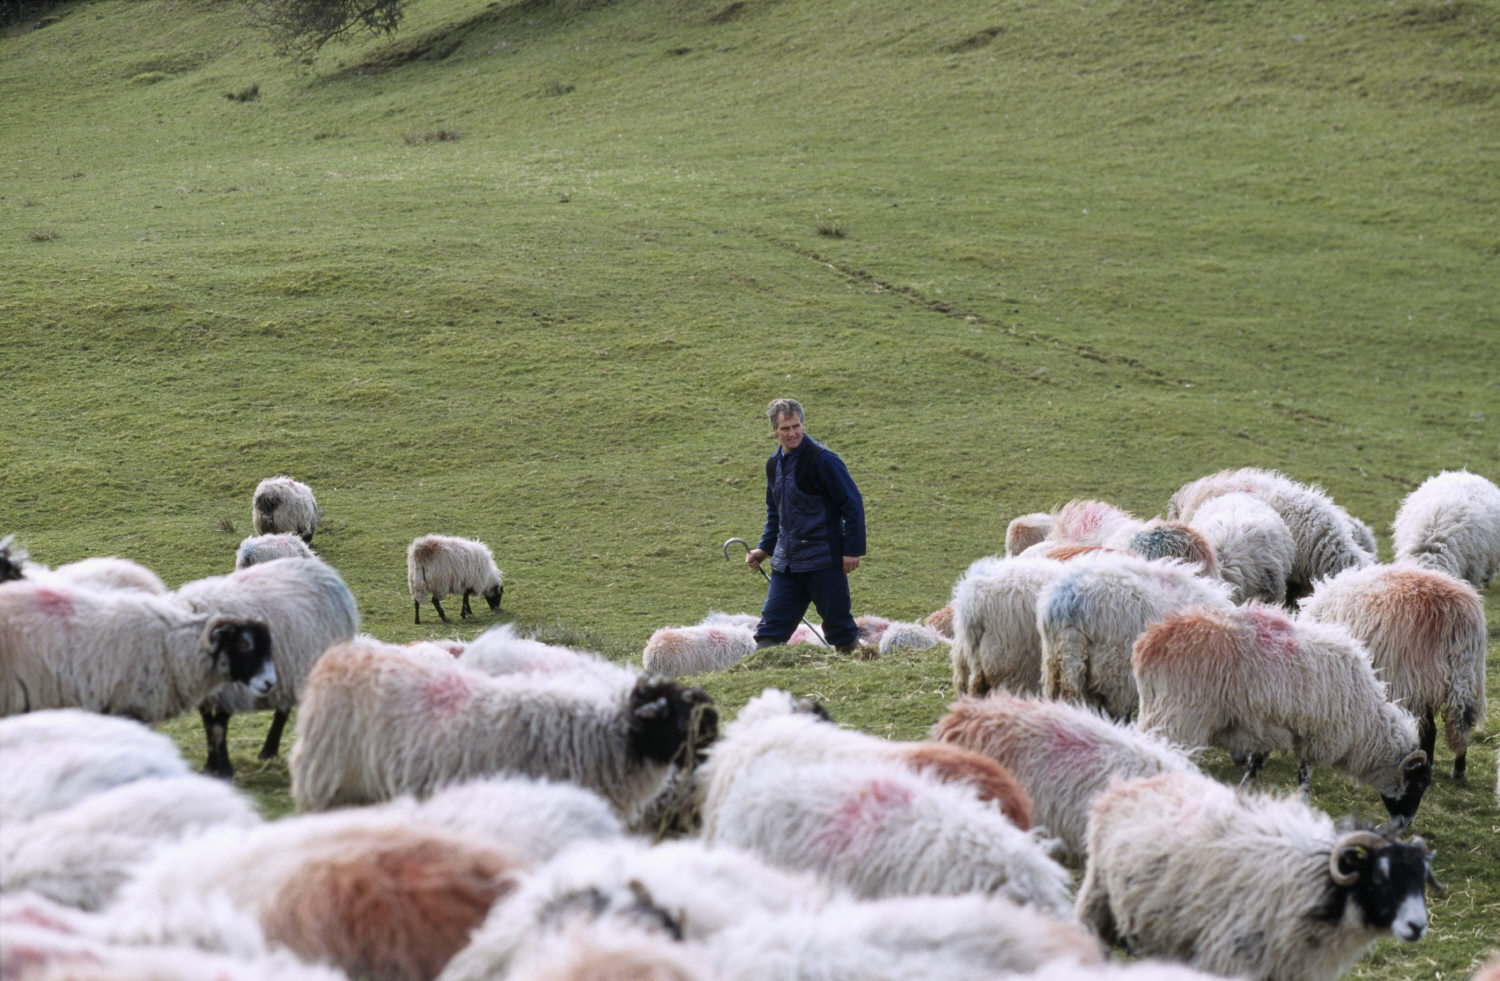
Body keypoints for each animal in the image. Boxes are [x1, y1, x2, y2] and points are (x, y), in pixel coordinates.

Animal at [176, 556, 360, 778]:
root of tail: (325, 569)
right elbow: (208, 726)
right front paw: (210, 765)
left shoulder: (232, 690)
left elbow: (219, 726)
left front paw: (225, 768)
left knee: (283, 713)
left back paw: (268, 750)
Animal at [1133, 602, 1432, 827]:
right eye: (1418, 785)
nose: (1404, 825)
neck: (1366, 721)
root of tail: (1151, 643)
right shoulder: (1314, 734)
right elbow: (1304, 779)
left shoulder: (1271, 727)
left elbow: (1256, 767)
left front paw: (1242, 796)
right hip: (1179, 716)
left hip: (1158, 709)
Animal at [1300, 562, 1487, 780]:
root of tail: (1458, 620)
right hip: (1467, 678)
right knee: (1459, 725)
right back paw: (1457, 768)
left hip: (1417, 680)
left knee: (1429, 729)